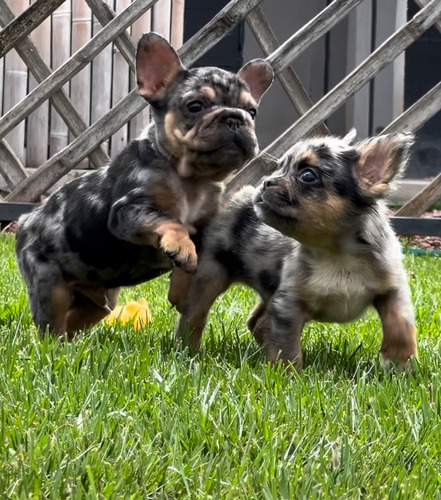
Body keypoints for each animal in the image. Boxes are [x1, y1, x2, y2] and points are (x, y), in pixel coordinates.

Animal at [16, 32, 272, 340]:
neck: (192, 180)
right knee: (52, 327)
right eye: (195, 106)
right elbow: (172, 223)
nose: (235, 118)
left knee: (77, 321)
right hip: (50, 287)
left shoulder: (204, 228)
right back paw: (52, 345)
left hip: (97, 302)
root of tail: (25, 220)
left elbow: (192, 261)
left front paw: (180, 289)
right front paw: (180, 247)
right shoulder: (129, 212)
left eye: (252, 111)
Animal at [174, 131, 416, 370]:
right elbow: (287, 345)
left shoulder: (392, 290)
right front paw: (287, 373)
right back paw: (188, 350)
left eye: (308, 175)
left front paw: (400, 364)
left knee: (257, 323)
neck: (337, 256)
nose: (266, 181)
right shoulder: (288, 304)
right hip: (212, 274)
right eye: (278, 168)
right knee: (194, 316)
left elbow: (401, 325)